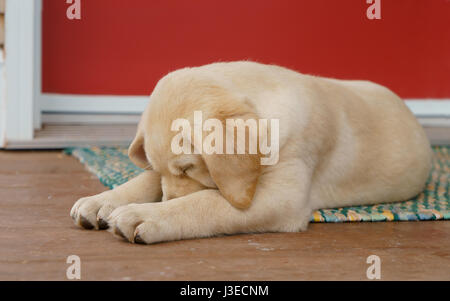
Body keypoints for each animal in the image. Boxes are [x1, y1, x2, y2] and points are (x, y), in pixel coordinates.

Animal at [70, 61, 432, 244]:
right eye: (166, 169)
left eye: (188, 168)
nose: (166, 200)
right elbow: (146, 181)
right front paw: (103, 200)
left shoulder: (281, 198)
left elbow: (207, 202)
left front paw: (147, 214)